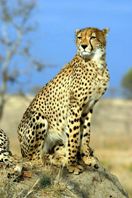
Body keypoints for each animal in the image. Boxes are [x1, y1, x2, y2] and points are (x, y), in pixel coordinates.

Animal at [17, 27, 109, 174]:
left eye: (93, 37)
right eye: (79, 37)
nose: (83, 46)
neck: (96, 63)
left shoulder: (89, 107)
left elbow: (85, 134)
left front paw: (87, 157)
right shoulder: (75, 106)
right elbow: (74, 135)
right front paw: (72, 164)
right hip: (38, 118)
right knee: (35, 158)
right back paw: (58, 160)